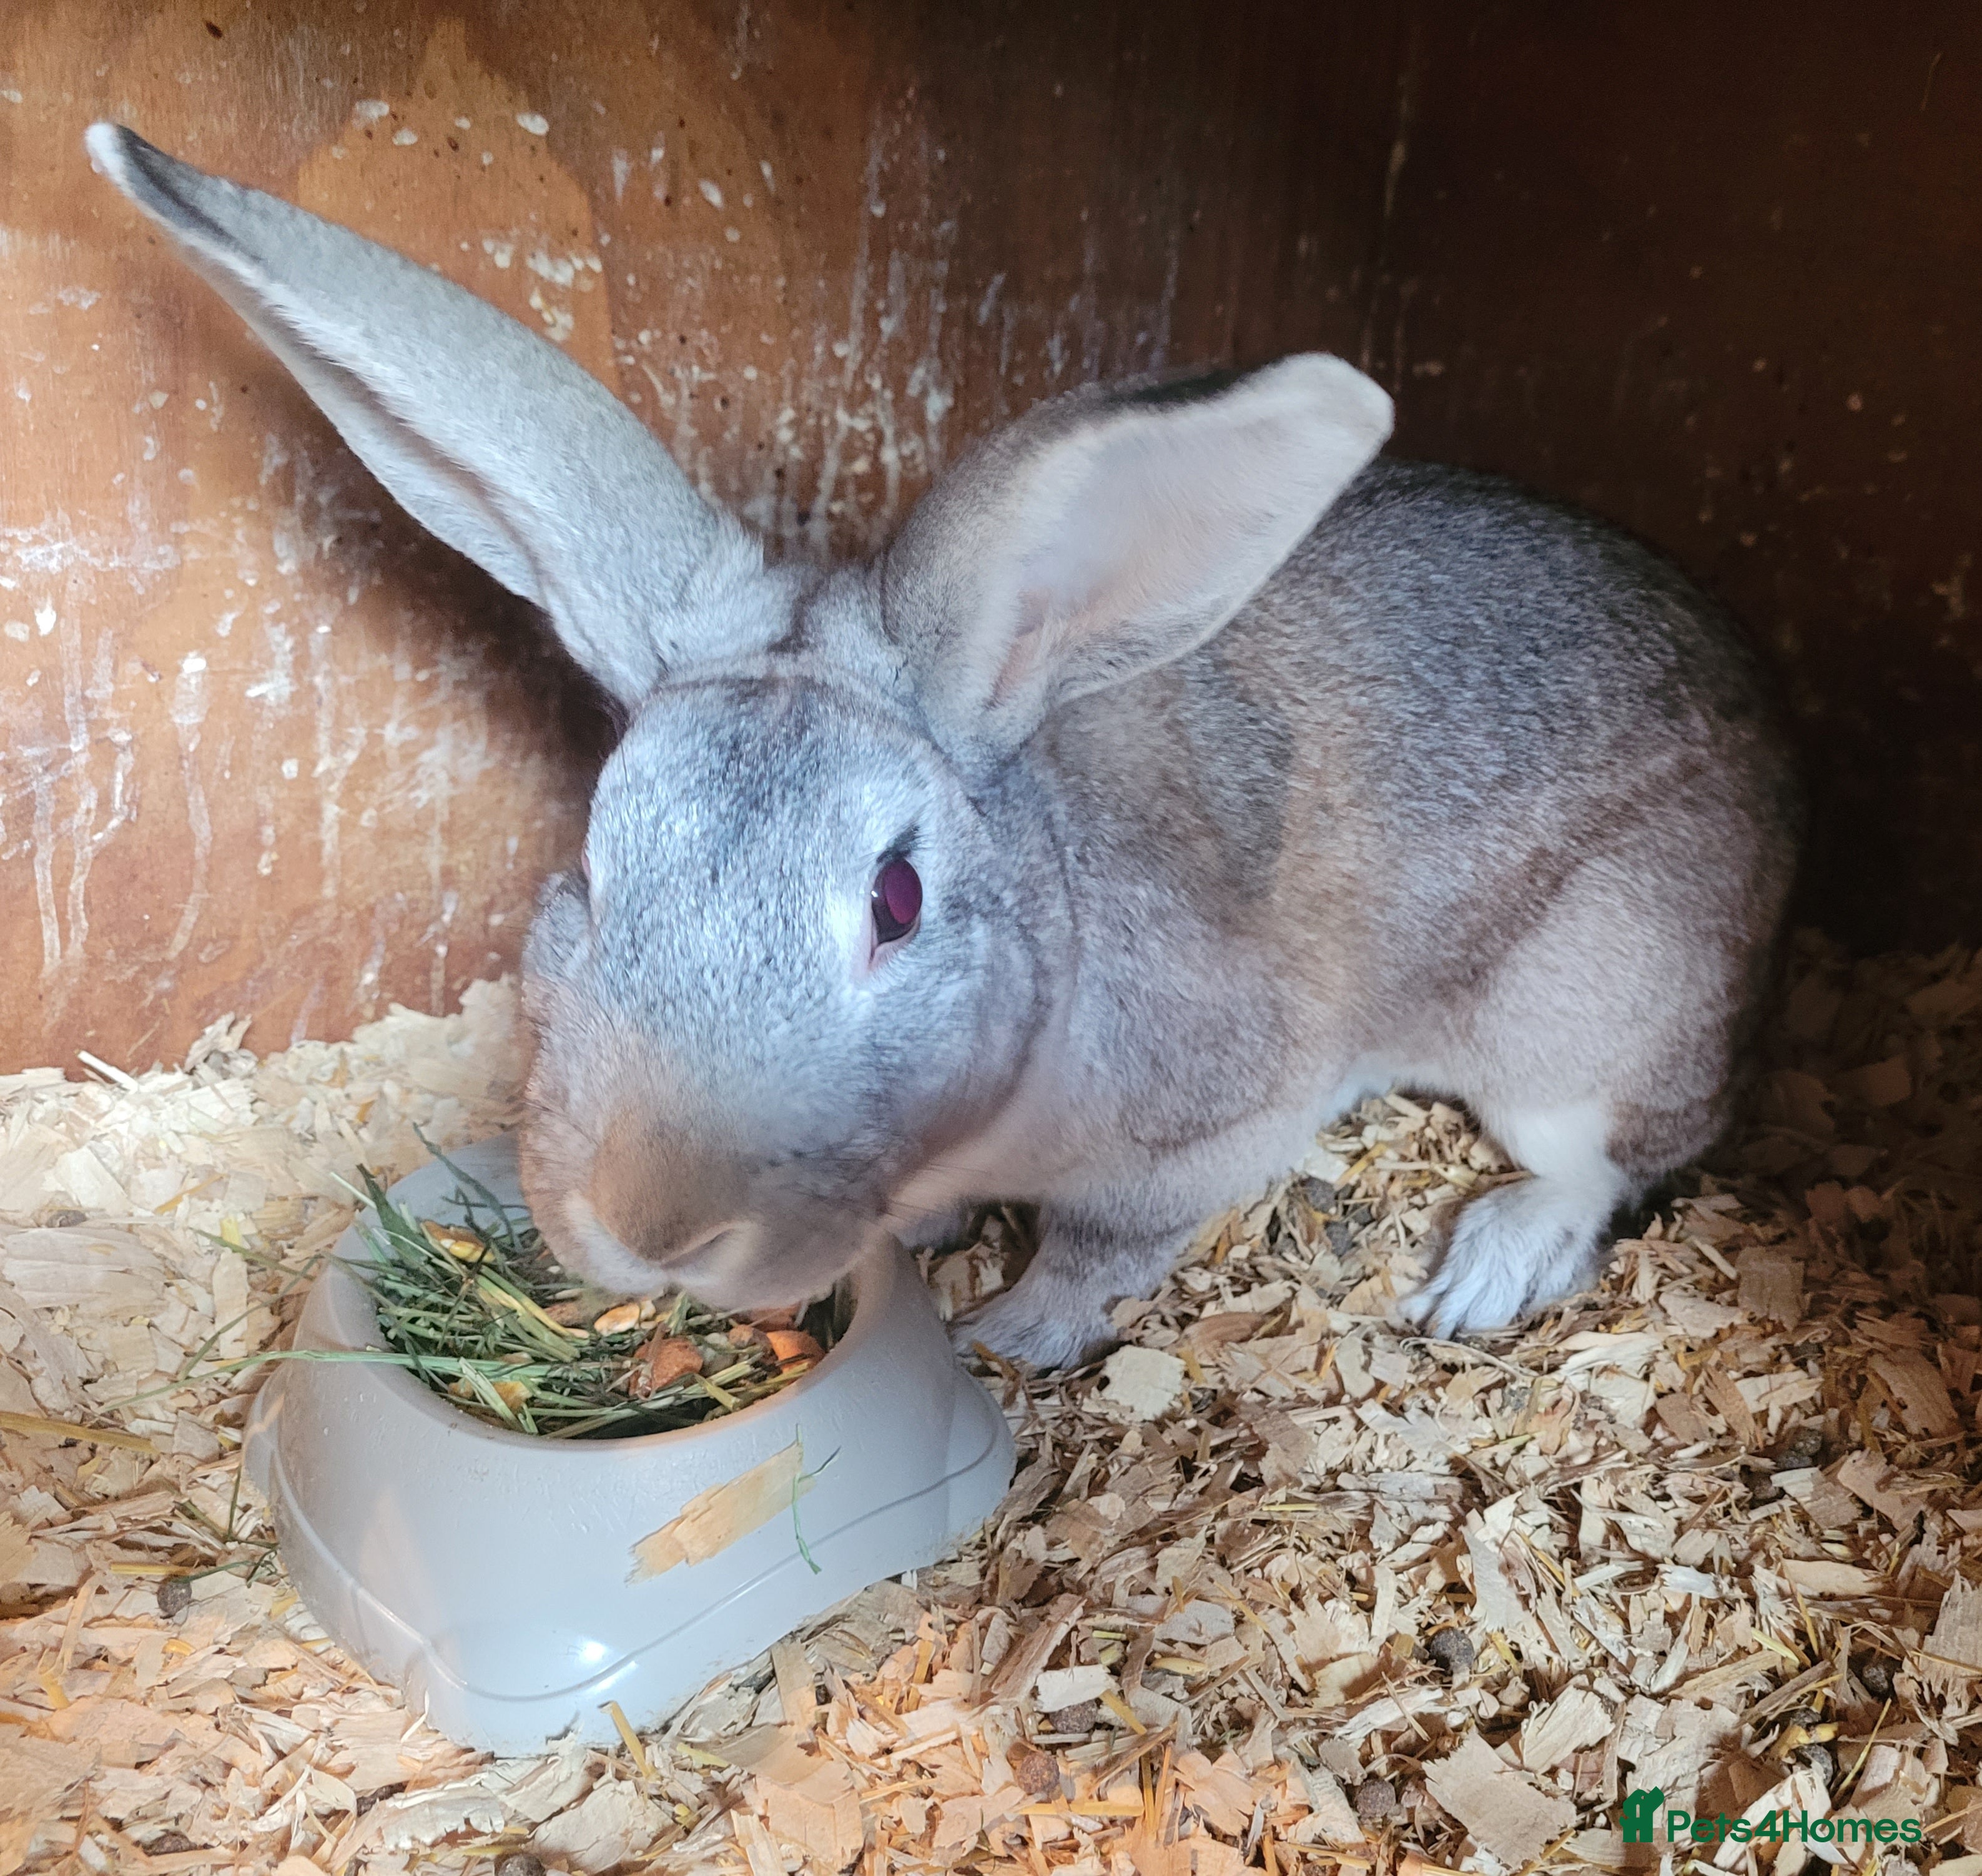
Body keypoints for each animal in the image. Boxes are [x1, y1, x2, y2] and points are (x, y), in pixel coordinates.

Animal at [88, 124, 1801, 1371]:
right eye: (589, 864)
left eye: (897, 903)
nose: (656, 1226)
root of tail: (1777, 756)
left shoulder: (1197, 1136)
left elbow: (1105, 1254)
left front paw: (1007, 1335)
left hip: (1577, 1014)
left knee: (1607, 1159)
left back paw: (1481, 1272)